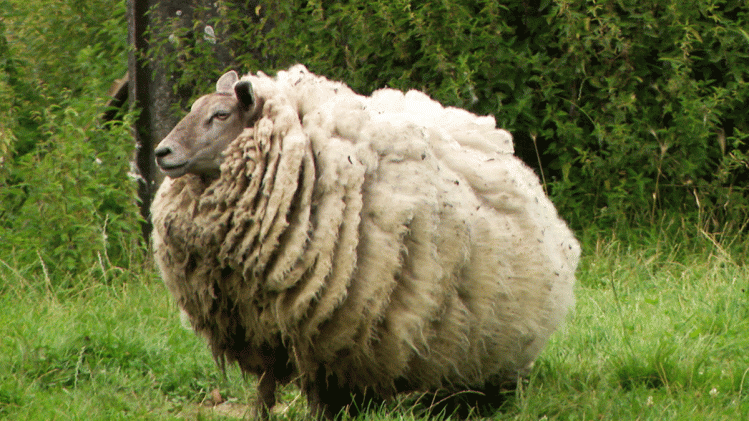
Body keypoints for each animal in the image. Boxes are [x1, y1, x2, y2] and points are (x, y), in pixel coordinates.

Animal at [151, 64, 580, 419]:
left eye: (220, 115)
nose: (161, 152)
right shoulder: (259, 324)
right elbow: (264, 390)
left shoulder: (317, 328)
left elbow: (318, 391)